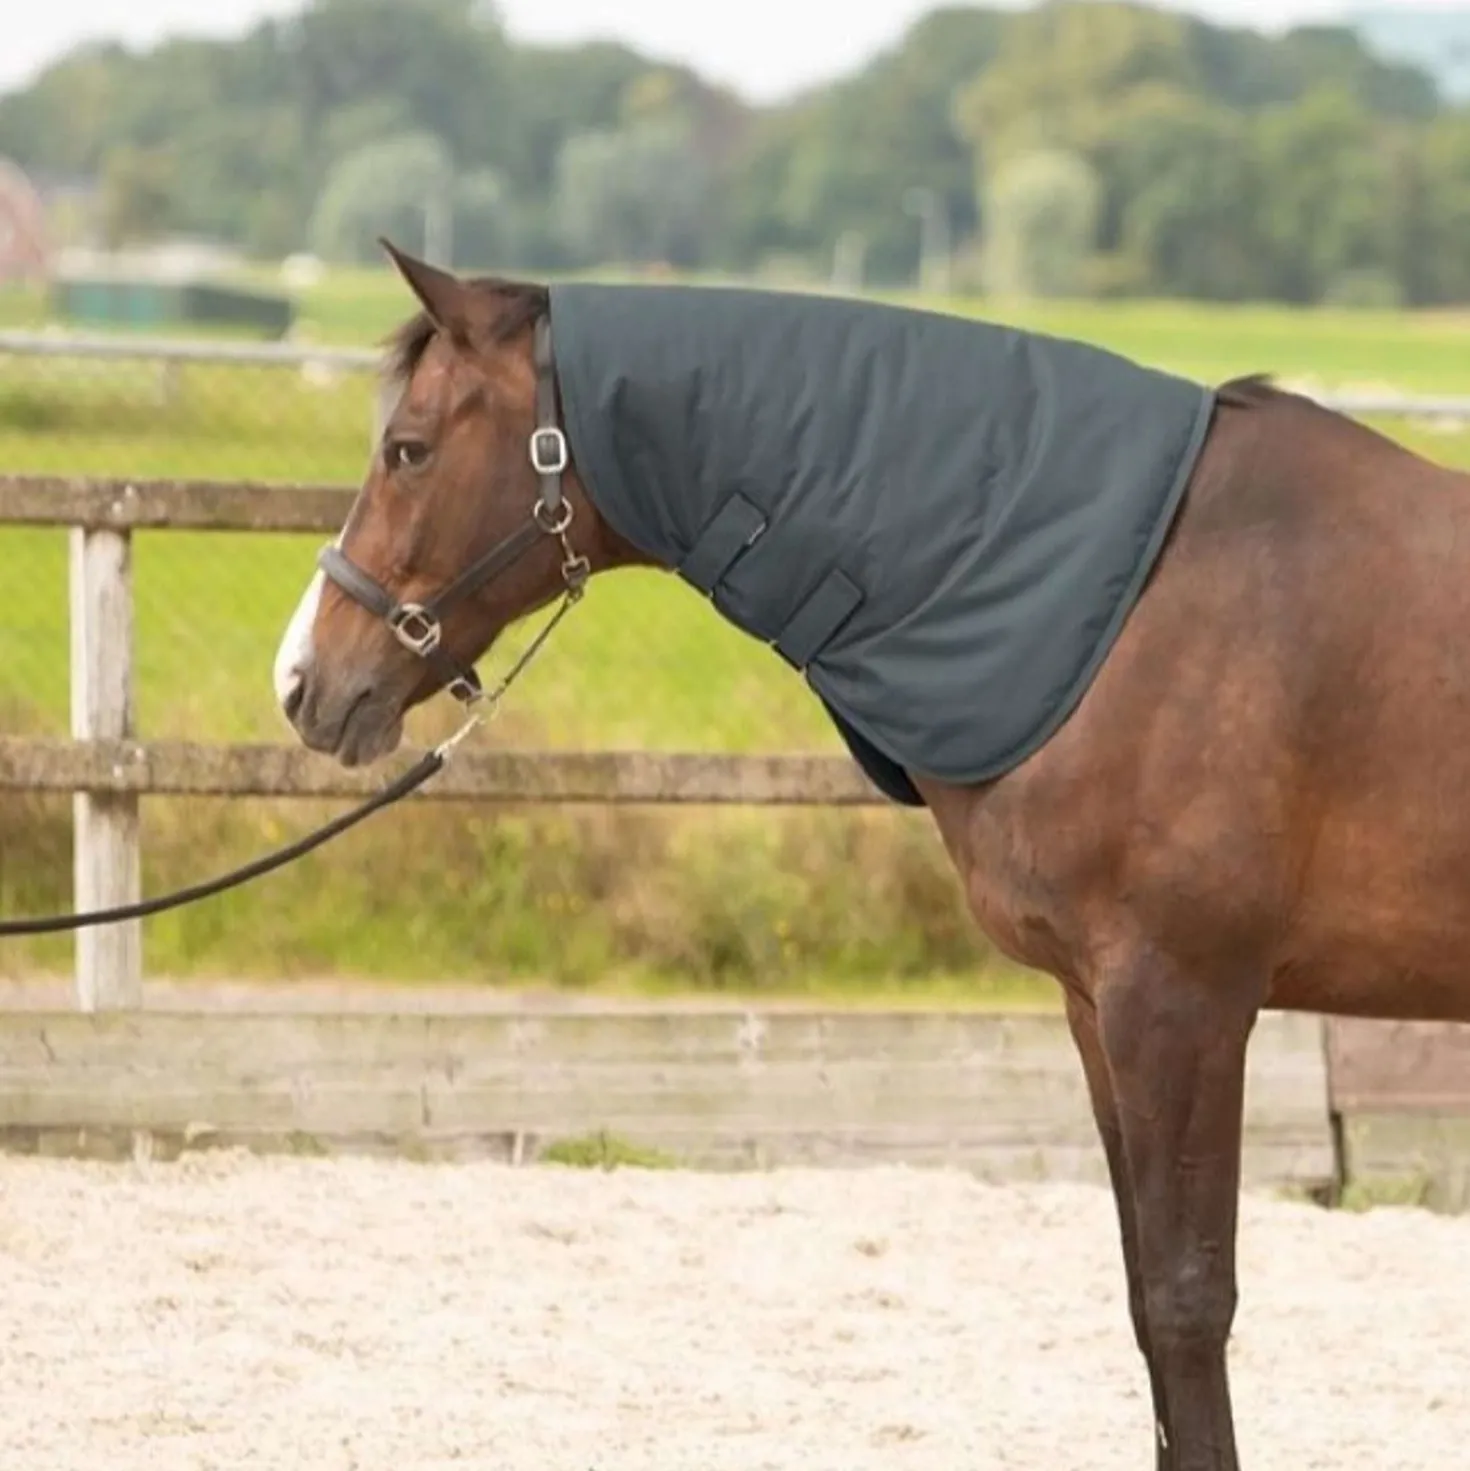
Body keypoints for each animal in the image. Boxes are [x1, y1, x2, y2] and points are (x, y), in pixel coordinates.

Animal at [273, 242, 1470, 1471]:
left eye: (407, 449)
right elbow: (1148, 1300)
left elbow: (1189, 1302)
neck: (1130, 608)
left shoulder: (1183, 1005)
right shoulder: (1099, 1011)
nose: (305, 680)